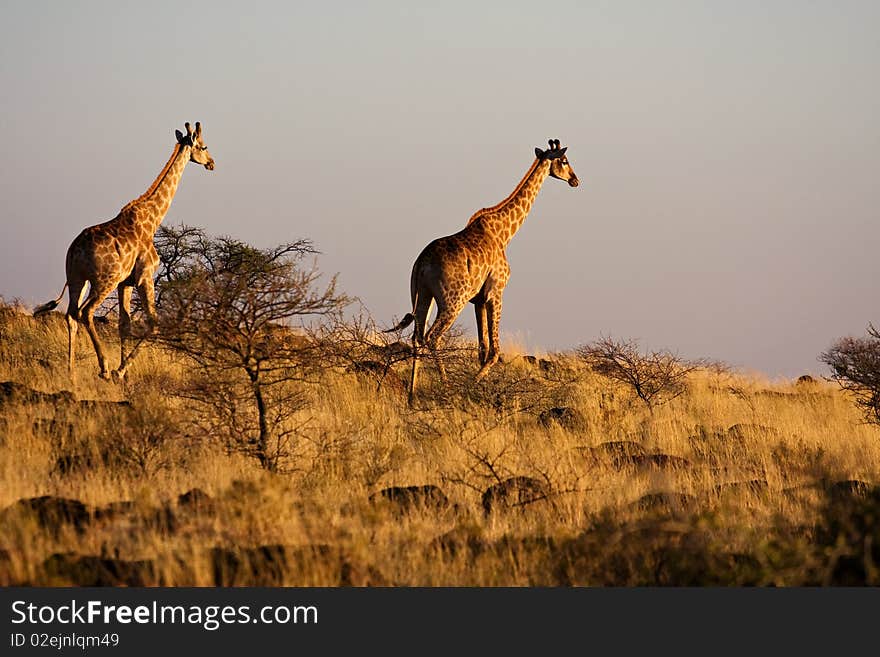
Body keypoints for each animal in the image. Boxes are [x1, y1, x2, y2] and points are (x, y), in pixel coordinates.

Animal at [33, 120, 216, 382]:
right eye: (203, 146)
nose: (212, 163)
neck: (153, 220)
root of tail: (76, 250)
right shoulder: (144, 276)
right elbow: (153, 323)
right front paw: (120, 371)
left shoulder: (125, 282)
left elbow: (124, 324)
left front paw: (125, 373)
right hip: (104, 280)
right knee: (86, 312)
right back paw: (104, 368)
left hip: (78, 279)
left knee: (71, 315)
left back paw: (71, 371)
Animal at [384, 138, 576, 400]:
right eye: (564, 161)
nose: (575, 180)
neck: (504, 233)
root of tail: (421, 263)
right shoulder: (496, 292)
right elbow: (494, 350)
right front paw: (472, 384)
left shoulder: (478, 300)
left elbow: (482, 348)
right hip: (453, 299)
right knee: (433, 337)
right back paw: (446, 387)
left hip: (423, 295)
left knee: (417, 337)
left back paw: (412, 394)